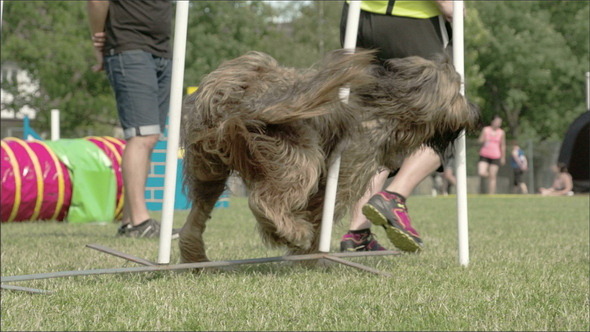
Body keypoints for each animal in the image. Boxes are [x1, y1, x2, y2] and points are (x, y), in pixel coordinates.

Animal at [180, 49, 480, 264]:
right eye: (457, 90)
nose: (476, 112)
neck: (386, 105)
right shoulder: (349, 166)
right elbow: (323, 208)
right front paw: (309, 253)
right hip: (299, 156)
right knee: (263, 201)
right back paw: (294, 233)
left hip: (209, 165)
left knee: (198, 213)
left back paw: (195, 256)